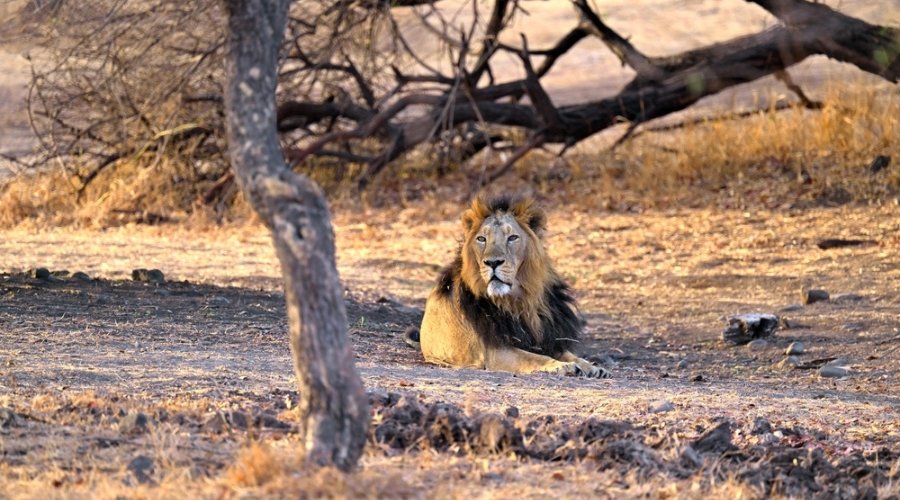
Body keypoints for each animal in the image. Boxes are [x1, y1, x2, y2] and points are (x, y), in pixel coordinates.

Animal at [406, 195, 609, 378]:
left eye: (512, 238)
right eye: (481, 239)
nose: (493, 262)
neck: (521, 300)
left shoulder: (547, 338)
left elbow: (570, 354)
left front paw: (592, 367)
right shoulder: (497, 351)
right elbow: (535, 358)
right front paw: (562, 366)